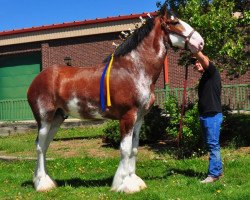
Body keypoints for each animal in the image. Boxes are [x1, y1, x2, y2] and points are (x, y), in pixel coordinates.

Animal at [27, 7, 204, 193]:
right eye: (175, 22)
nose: (200, 42)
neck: (134, 69)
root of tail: (37, 80)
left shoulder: (139, 118)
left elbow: (134, 148)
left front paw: (134, 180)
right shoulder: (127, 116)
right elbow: (125, 149)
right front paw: (125, 184)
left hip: (57, 118)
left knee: (44, 145)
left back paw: (46, 181)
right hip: (45, 119)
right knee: (40, 146)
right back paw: (42, 184)